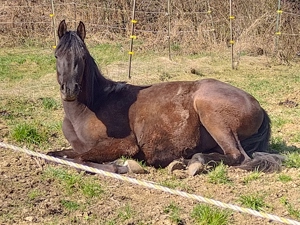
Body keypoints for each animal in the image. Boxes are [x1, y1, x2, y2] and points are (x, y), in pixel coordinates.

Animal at [48, 19, 284, 174]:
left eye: (82, 56)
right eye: (57, 55)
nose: (70, 90)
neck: (93, 107)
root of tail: (258, 106)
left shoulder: (125, 144)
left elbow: (81, 159)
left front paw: (123, 166)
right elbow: (57, 155)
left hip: (211, 113)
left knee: (238, 157)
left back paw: (194, 163)